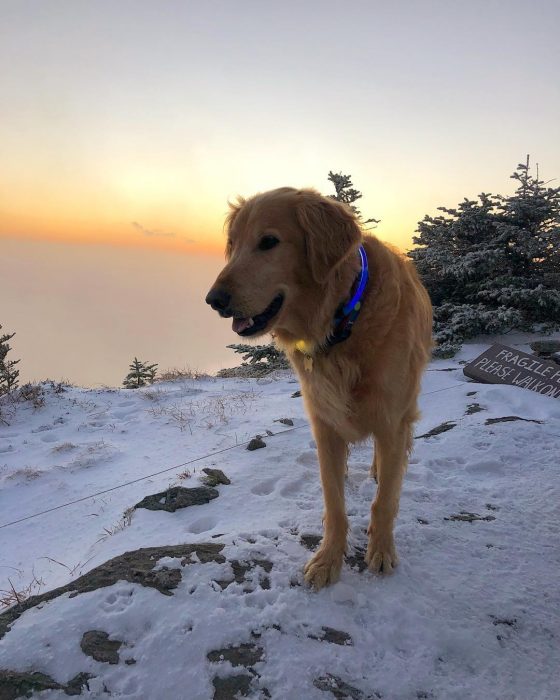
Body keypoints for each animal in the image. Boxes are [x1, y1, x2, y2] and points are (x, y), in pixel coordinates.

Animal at [206, 189, 434, 588]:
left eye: (269, 242)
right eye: (232, 245)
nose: (213, 300)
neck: (343, 321)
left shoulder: (391, 419)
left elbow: (385, 500)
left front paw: (381, 551)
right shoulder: (325, 425)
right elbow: (334, 502)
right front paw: (328, 560)